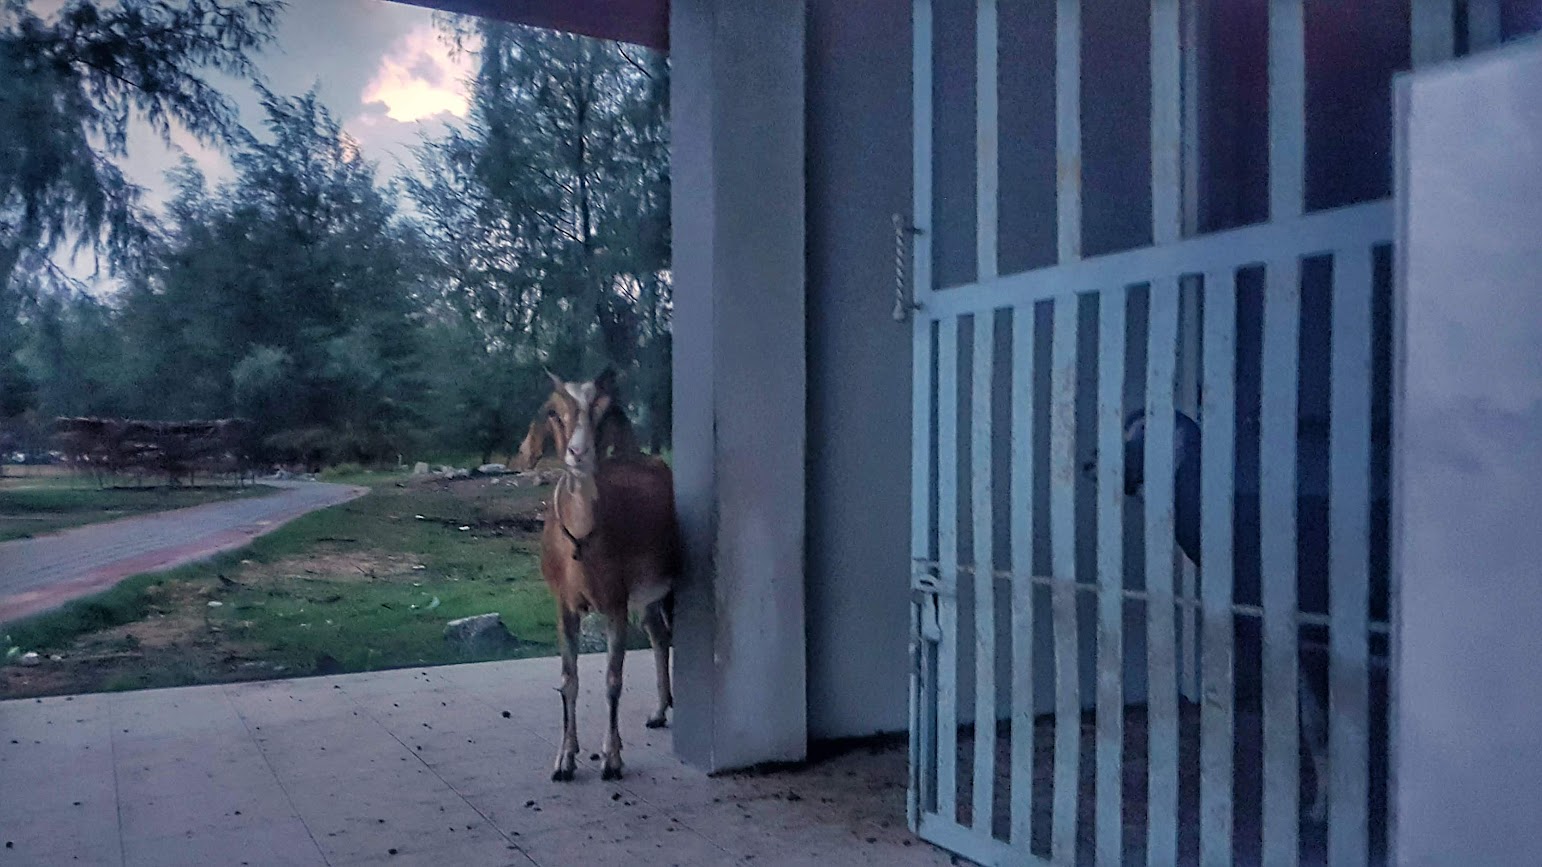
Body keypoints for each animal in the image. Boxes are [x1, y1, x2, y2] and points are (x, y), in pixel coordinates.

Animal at [533, 367, 678, 780]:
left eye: (604, 411)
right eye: (555, 412)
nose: (578, 453)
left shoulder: (615, 602)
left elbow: (613, 680)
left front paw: (612, 758)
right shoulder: (563, 605)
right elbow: (568, 681)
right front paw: (565, 759)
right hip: (647, 595)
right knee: (658, 635)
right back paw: (659, 711)